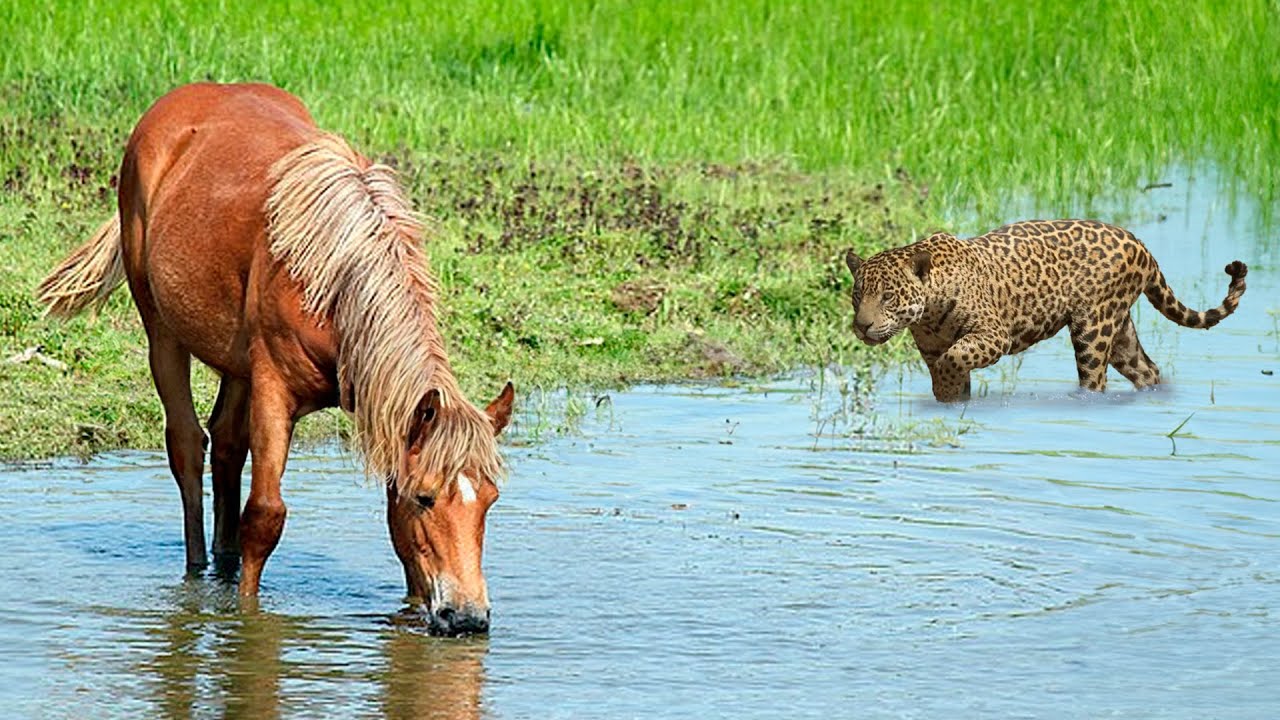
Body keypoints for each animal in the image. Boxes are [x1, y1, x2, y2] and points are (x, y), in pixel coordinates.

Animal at [38, 82, 513, 635]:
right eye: (426, 497)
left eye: (490, 499)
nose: (468, 617)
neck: (334, 285)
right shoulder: (273, 390)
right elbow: (264, 516)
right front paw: (247, 620)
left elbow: (399, 544)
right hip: (163, 333)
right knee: (187, 445)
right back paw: (197, 571)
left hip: (234, 363)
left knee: (225, 444)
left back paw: (222, 562)